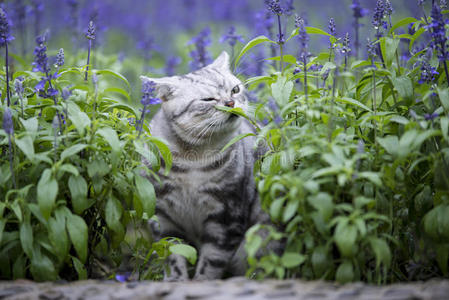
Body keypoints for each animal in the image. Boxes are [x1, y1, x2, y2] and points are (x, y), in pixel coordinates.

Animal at [140, 52, 270, 282]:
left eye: (235, 90)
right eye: (208, 100)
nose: (230, 102)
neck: (194, 160)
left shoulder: (227, 218)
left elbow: (211, 263)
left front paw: (201, 281)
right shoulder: (163, 218)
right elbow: (173, 256)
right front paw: (176, 280)